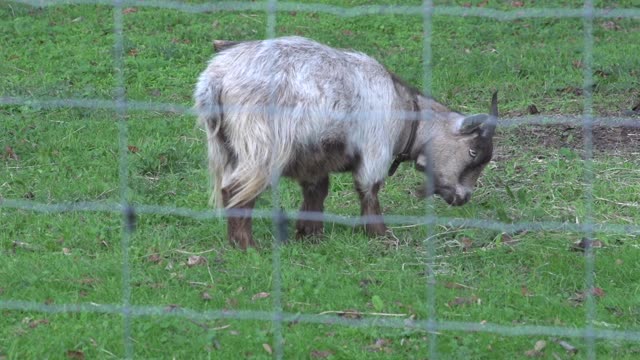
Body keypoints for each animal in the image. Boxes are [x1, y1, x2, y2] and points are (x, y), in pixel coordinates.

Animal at [195, 37, 500, 250]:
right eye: (473, 151)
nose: (463, 197)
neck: (404, 112)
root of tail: (216, 78)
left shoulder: (314, 161)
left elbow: (317, 192)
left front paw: (310, 235)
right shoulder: (375, 150)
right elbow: (369, 191)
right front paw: (380, 235)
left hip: (226, 146)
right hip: (260, 147)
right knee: (237, 189)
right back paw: (246, 246)